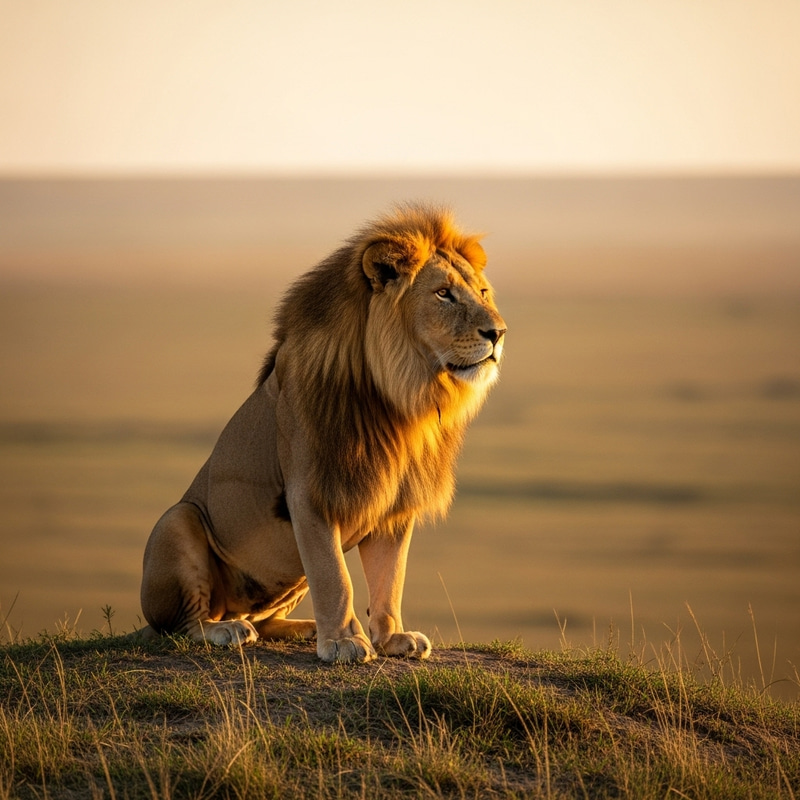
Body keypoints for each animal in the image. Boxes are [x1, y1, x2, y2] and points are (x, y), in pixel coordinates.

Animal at [140, 204, 506, 663]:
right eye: (443, 294)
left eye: (484, 292)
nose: (498, 333)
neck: (401, 400)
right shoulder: (311, 493)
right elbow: (335, 577)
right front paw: (345, 642)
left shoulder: (396, 505)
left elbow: (390, 578)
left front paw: (391, 638)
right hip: (178, 519)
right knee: (183, 625)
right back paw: (227, 630)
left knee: (265, 618)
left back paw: (302, 627)